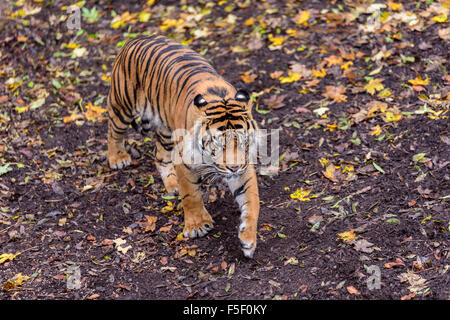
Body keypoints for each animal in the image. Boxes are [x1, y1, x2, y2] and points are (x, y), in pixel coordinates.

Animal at [108, 34, 260, 258]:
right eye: (219, 144)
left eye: (244, 142)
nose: (233, 168)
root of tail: (137, 38)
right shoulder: (185, 161)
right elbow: (191, 195)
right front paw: (197, 225)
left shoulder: (244, 167)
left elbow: (252, 201)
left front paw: (248, 238)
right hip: (122, 105)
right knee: (113, 131)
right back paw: (118, 158)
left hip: (165, 128)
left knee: (160, 155)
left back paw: (172, 185)